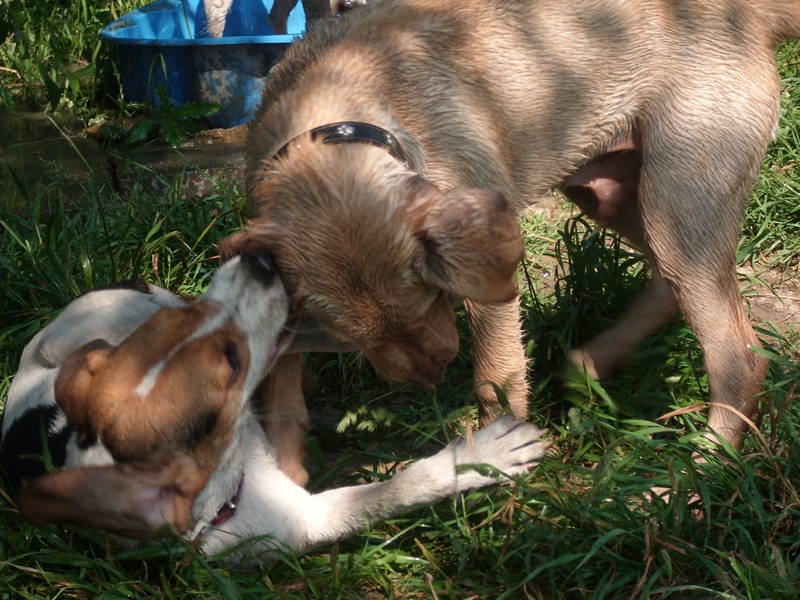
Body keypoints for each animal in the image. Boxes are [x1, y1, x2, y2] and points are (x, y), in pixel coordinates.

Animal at [219, 0, 800, 482]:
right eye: (347, 337)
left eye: (429, 295)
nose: (432, 375)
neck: (330, 125)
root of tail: (748, 14)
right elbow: (280, 405)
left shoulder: (485, 288)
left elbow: (495, 381)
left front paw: (498, 474)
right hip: (619, 199)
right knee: (666, 285)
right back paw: (590, 366)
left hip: (679, 202)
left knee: (738, 359)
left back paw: (702, 469)